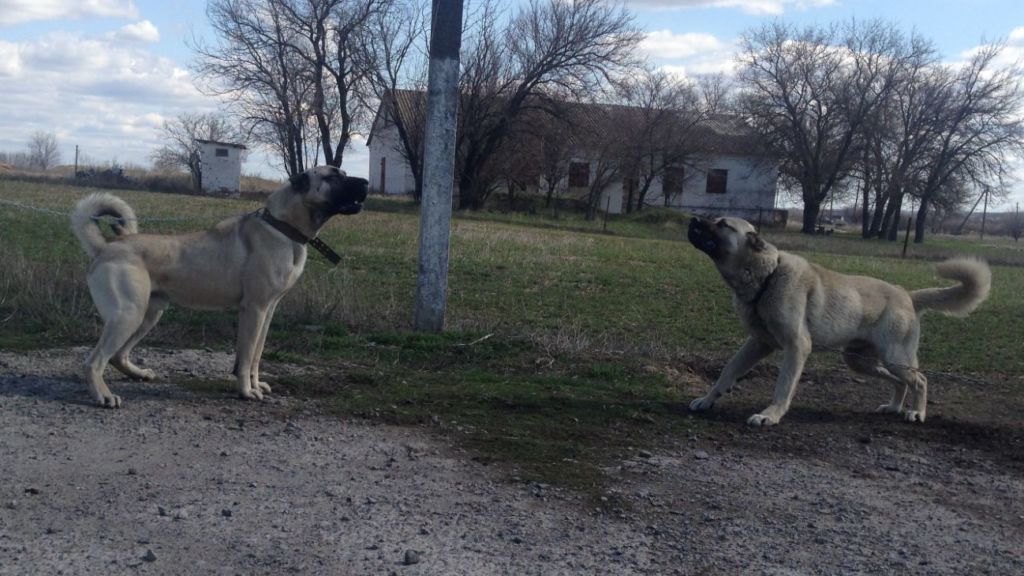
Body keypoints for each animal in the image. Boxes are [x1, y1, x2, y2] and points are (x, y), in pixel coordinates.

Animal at [71, 166, 367, 408]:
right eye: (332, 176)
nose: (365, 182)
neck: (283, 226)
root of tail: (106, 247)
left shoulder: (268, 311)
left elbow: (256, 355)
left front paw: (256, 384)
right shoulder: (254, 309)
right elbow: (246, 357)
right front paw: (246, 392)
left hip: (149, 314)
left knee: (118, 355)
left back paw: (139, 374)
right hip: (128, 314)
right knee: (94, 361)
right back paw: (104, 396)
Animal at [686, 216, 991, 426]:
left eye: (723, 224)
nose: (693, 219)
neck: (767, 276)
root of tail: (906, 294)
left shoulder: (797, 347)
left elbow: (783, 386)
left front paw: (770, 415)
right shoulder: (758, 344)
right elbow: (728, 371)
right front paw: (708, 399)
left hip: (895, 358)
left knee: (920, 380)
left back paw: (916, 411)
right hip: (860, 361)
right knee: (899, 381)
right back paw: (894, 407)